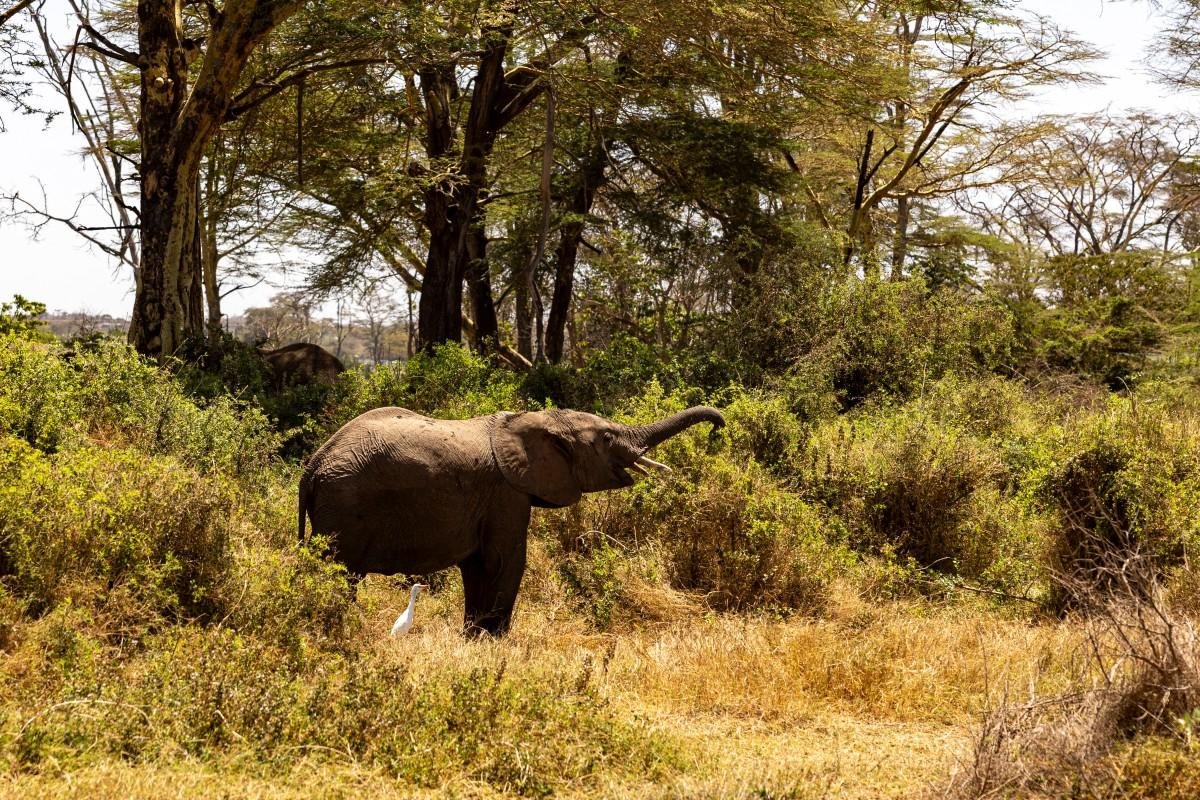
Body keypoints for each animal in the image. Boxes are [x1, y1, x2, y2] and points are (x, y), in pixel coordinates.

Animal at [298, 405, 724, 636]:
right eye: (605, 438)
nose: (718, 429)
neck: (535, 419)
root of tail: (312, 466)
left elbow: (476, 565)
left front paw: (473, 637)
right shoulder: (506, 491)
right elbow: (505, 560)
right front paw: (493, 640)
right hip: (343, 507)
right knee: (339, 571)